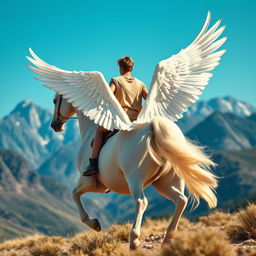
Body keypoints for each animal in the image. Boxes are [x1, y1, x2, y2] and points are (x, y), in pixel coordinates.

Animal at [51, 93, 217, 249]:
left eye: (55, 100)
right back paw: (167, 239)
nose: (55, 125)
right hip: (166, 182)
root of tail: (152, 127)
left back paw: (134, 239)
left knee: (141, 202)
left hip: (135, 179)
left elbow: (74, 195)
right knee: (181, 200)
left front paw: (94, 224)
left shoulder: (91, 183)